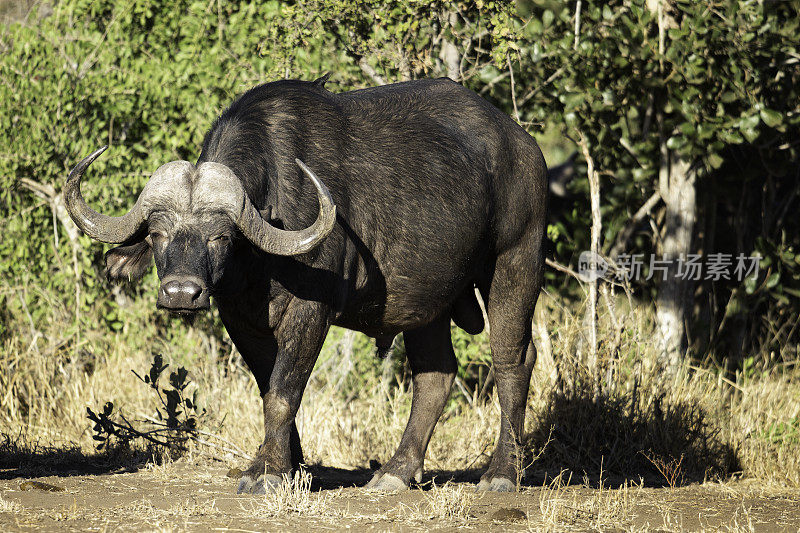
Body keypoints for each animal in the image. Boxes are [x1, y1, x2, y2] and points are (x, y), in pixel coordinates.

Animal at [65, 77, 548, 492]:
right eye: (157, 234)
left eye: (222, 237)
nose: (182, 293)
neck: (262, 262)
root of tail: (525, 146)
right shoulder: (239, 318)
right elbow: (269, 390)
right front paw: (289, 466)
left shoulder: (311, 312)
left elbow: (283, 392)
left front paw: (266, 472)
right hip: (426, 300)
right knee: (436, 374)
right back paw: (395, 473)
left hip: (515, 263)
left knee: (513, 362)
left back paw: (501, 474)